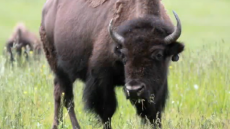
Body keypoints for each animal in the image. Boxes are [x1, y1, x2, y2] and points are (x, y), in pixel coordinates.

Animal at [40, 0, 185, 128]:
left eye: (159, 54)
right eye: (124, 55)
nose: (134, 90)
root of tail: (46, 10)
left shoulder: (157, 87)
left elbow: (153, 114)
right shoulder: (102, 80)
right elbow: (107, 112)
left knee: (58, 93)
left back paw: (56, 125)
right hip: (60, 69)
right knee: (68, 99)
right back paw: (75, 126)